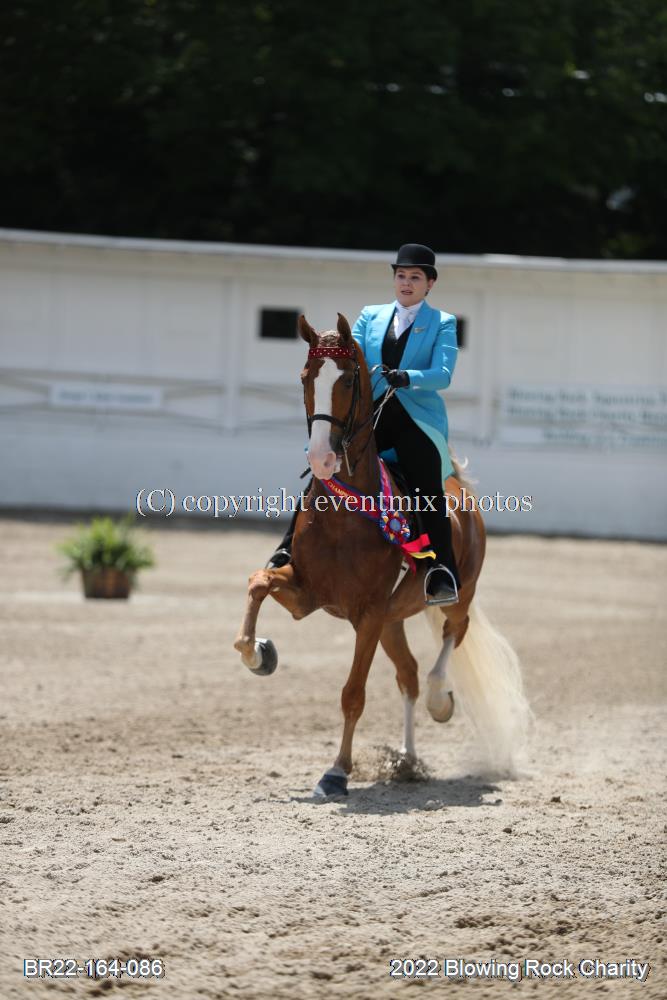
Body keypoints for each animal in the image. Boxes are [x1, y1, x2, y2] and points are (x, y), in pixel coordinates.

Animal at [234, 313, 530, 796]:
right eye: (305, 377)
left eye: (349, 379)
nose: (321, 459)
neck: (342, 517)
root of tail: (457, 484)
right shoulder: (307, 595)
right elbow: (258, 583)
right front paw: (259, 652)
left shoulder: (368, 614)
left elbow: (353, 694)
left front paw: (337, 772)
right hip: (392, 621)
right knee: (407, 675)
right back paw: (407, 760)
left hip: (454, 594)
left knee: (451, 637)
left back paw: (440, 700)